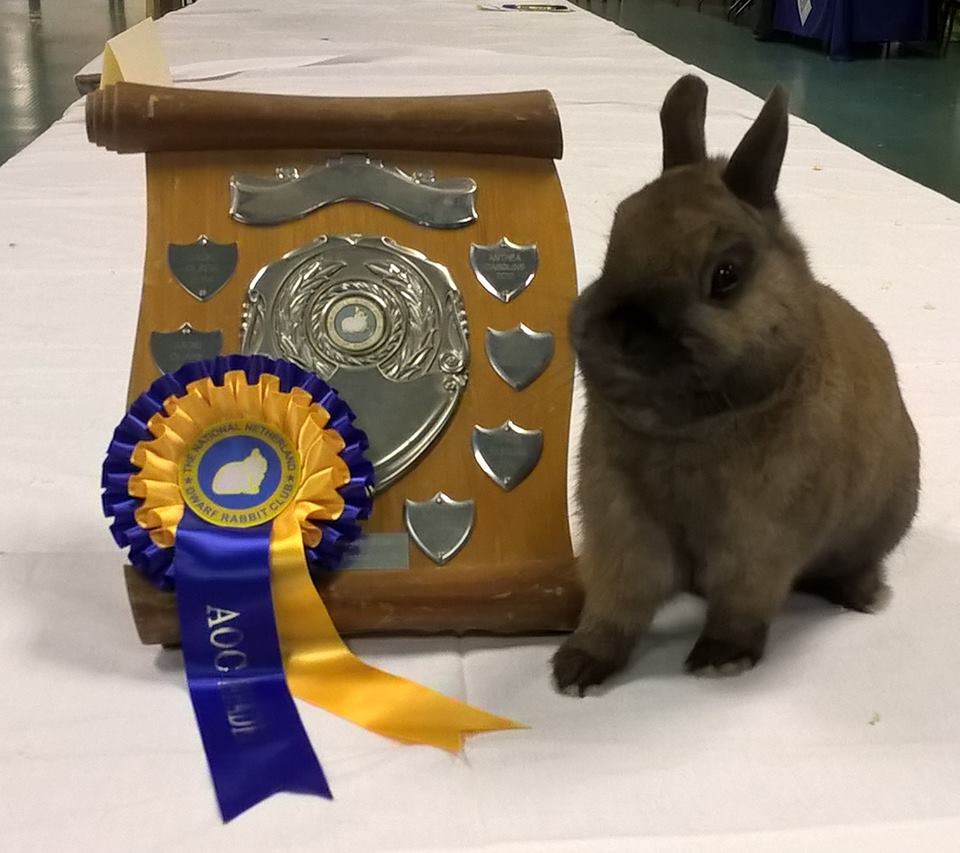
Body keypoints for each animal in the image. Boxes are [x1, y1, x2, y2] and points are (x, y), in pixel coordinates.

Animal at [552, 76, 920, 696]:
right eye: (614, 240)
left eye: (725, 276)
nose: (625, 331)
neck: (689, 433)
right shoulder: (622, 528)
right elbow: (615, 604)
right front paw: (577, 668)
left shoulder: (760, 544)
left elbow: (741, 605)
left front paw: (719, 660)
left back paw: (864, 596)